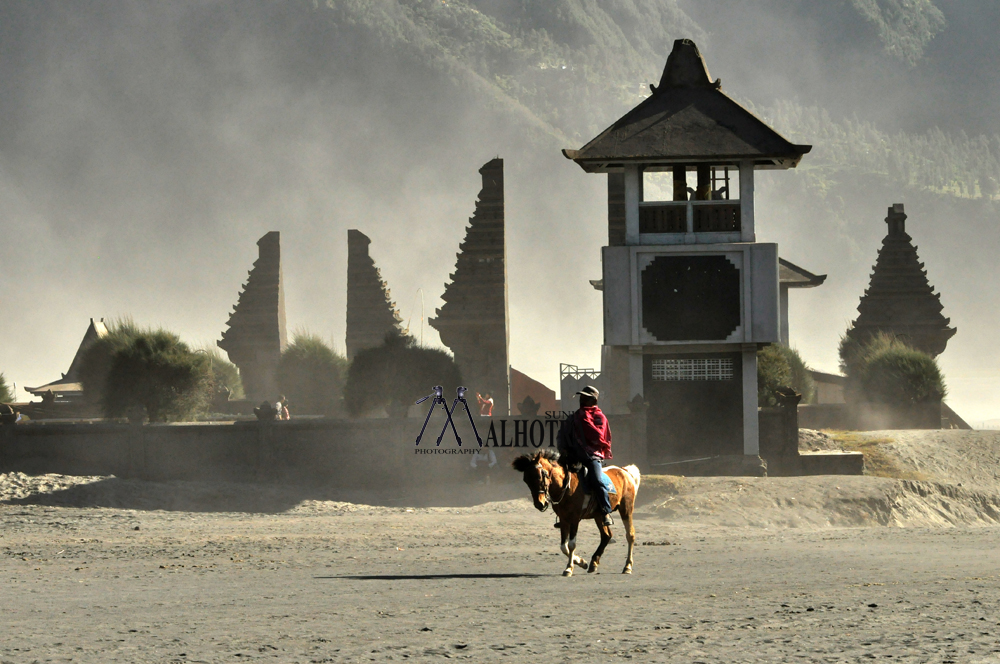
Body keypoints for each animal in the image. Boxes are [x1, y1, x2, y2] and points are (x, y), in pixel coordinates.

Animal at [512, 452, 644, 576]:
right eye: (526, 480)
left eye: (540, 476)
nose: (540, 503)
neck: (567, 486)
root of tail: (625, 471)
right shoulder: (564, 519)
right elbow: (563, 546)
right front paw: (581, 562)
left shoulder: (574, 519)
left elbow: (571, 544)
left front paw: (569, 568)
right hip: (598, 515)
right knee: (606, 535)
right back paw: (593, 563)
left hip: (626, 509)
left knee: (630, 535)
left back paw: (627, 566)